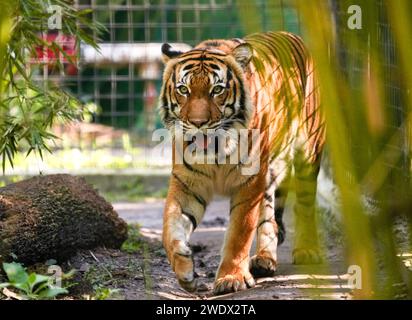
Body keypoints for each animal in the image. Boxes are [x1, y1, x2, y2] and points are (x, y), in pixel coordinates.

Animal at [158, 31, 326, 294]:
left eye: (217, 89)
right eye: (183, 89)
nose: (197, 123)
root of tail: (291, 34)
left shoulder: (249, 182)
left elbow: (240, 232)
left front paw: (231, 278)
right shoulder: (187, 183)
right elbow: (170, 227)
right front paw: (185, 270)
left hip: (308, 151)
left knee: (305, 204)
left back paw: (307, 251)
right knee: (269, 217)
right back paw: (264, 260)